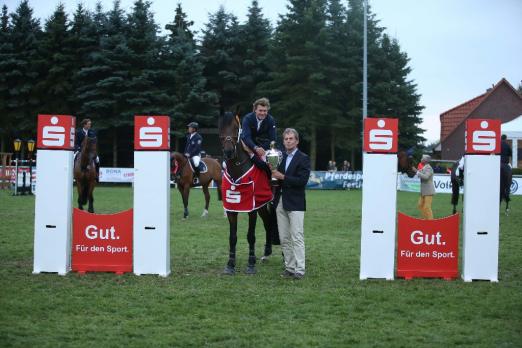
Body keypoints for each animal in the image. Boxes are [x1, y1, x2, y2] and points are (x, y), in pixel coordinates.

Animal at [217, 111, 278, 274]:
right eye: (220, 128)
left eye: (236, 128)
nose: (228, 152)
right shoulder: (232, 209)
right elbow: (232, 236)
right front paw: (230, 264)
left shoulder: (252, 209)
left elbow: (251, 235)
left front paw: (251, 264)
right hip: (262, 206)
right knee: (268, 222)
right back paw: (266, 252)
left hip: (265, 203)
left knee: (271, 223)